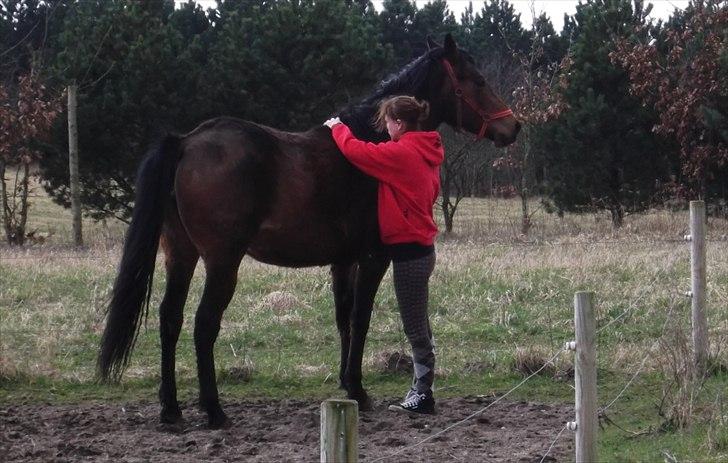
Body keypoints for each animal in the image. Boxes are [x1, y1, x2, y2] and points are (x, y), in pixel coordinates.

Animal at [98, 34, 516, 430]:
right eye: (477, 80)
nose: (513, 126)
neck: (371, 146)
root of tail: (186, 142)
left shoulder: (343, 261)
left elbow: (344, 318)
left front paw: (348, 385)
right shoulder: (374, 258)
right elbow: (361, 318)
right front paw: (359, 390)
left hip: (181, 255)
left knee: (170, 318)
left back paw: (171, 409)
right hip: (222, 262)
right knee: (204, 324)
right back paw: (214, 410)